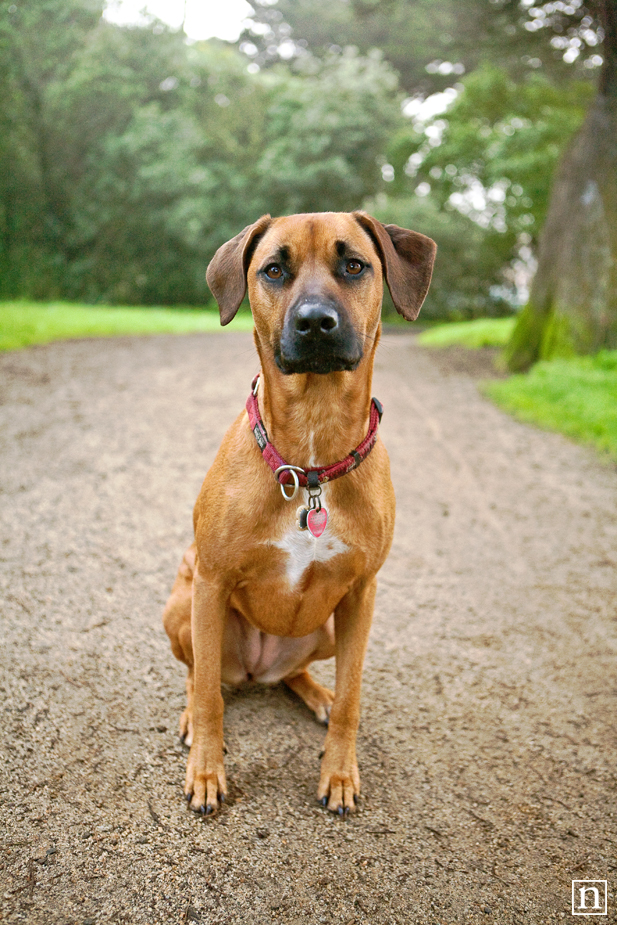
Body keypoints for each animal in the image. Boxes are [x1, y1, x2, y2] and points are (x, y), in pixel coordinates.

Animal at [162, 211, 434, 816]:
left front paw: (339, 772)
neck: (310, 457)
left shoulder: (361, 594)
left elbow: (355, 696)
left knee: (299, 672)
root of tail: (257, 670)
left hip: (325, 628)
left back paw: (316, 693)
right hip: (184, 606)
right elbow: (210, 696)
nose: (314, 323)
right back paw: (193, 713)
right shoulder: (211, 583)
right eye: (273, 270)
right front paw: (207, 773)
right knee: (200, 676)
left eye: (354, 265)